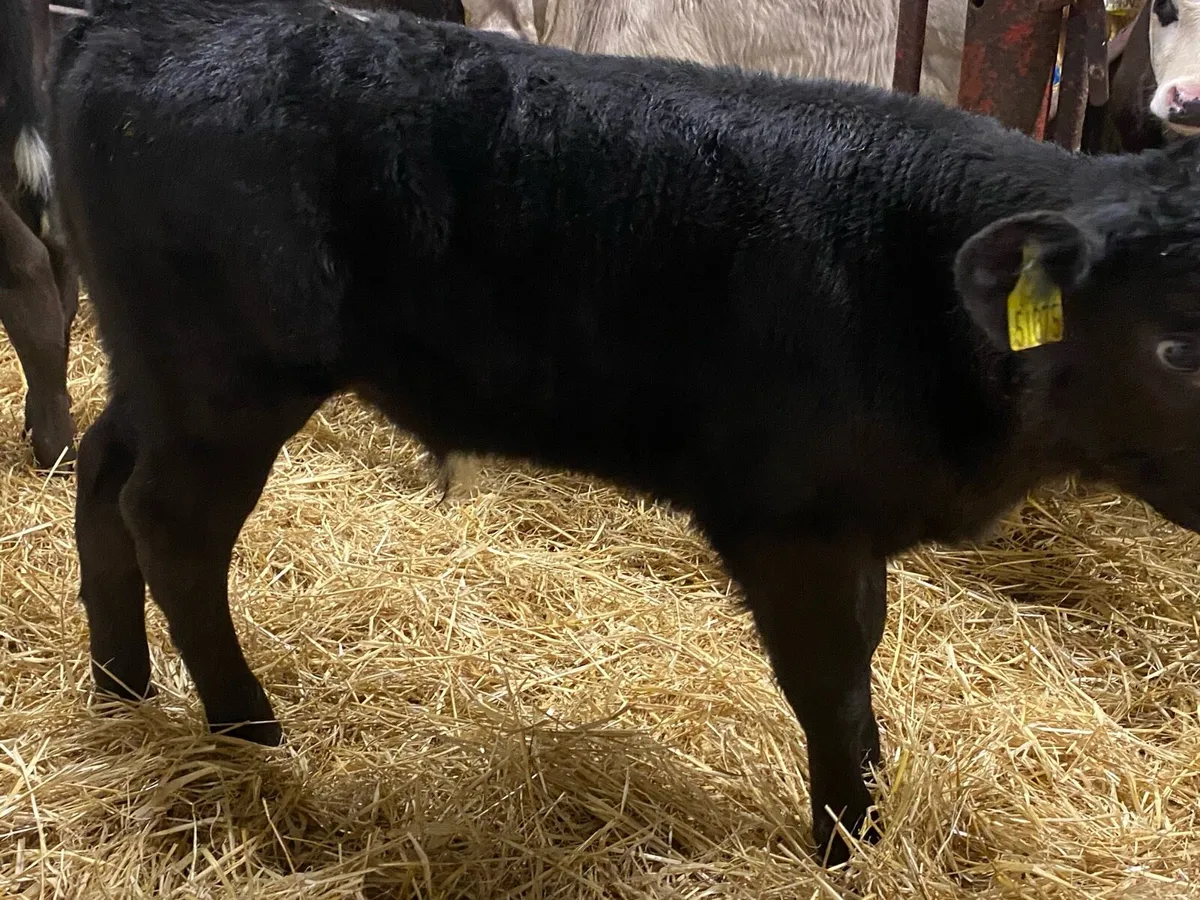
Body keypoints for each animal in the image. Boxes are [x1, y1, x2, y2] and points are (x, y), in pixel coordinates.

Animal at [52, 0, 1200, 868]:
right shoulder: (796, 522)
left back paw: (122, 687)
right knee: (173, 524)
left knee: (104, 476)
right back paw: (247, 729)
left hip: (151, 364)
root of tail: (132, 22)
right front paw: (850, 844)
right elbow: (834, 685)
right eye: (1177, 348)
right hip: (227, 379)